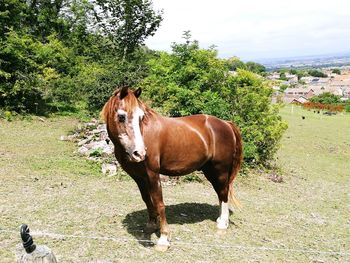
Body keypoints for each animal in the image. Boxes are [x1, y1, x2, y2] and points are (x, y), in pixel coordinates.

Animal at [101, 86, 243, 252]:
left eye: (141, 117)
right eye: (121, 117)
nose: (140, 153)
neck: (145, 133)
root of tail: (226, 123)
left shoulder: (153, 174)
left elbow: (159, 203)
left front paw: (163, 239)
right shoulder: (138, 177)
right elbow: (147, 200)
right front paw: (151, 226)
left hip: (220, 170)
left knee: (224, 193)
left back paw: (222, 224)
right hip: (209, 170)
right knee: (220, 193)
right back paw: (220, 219)